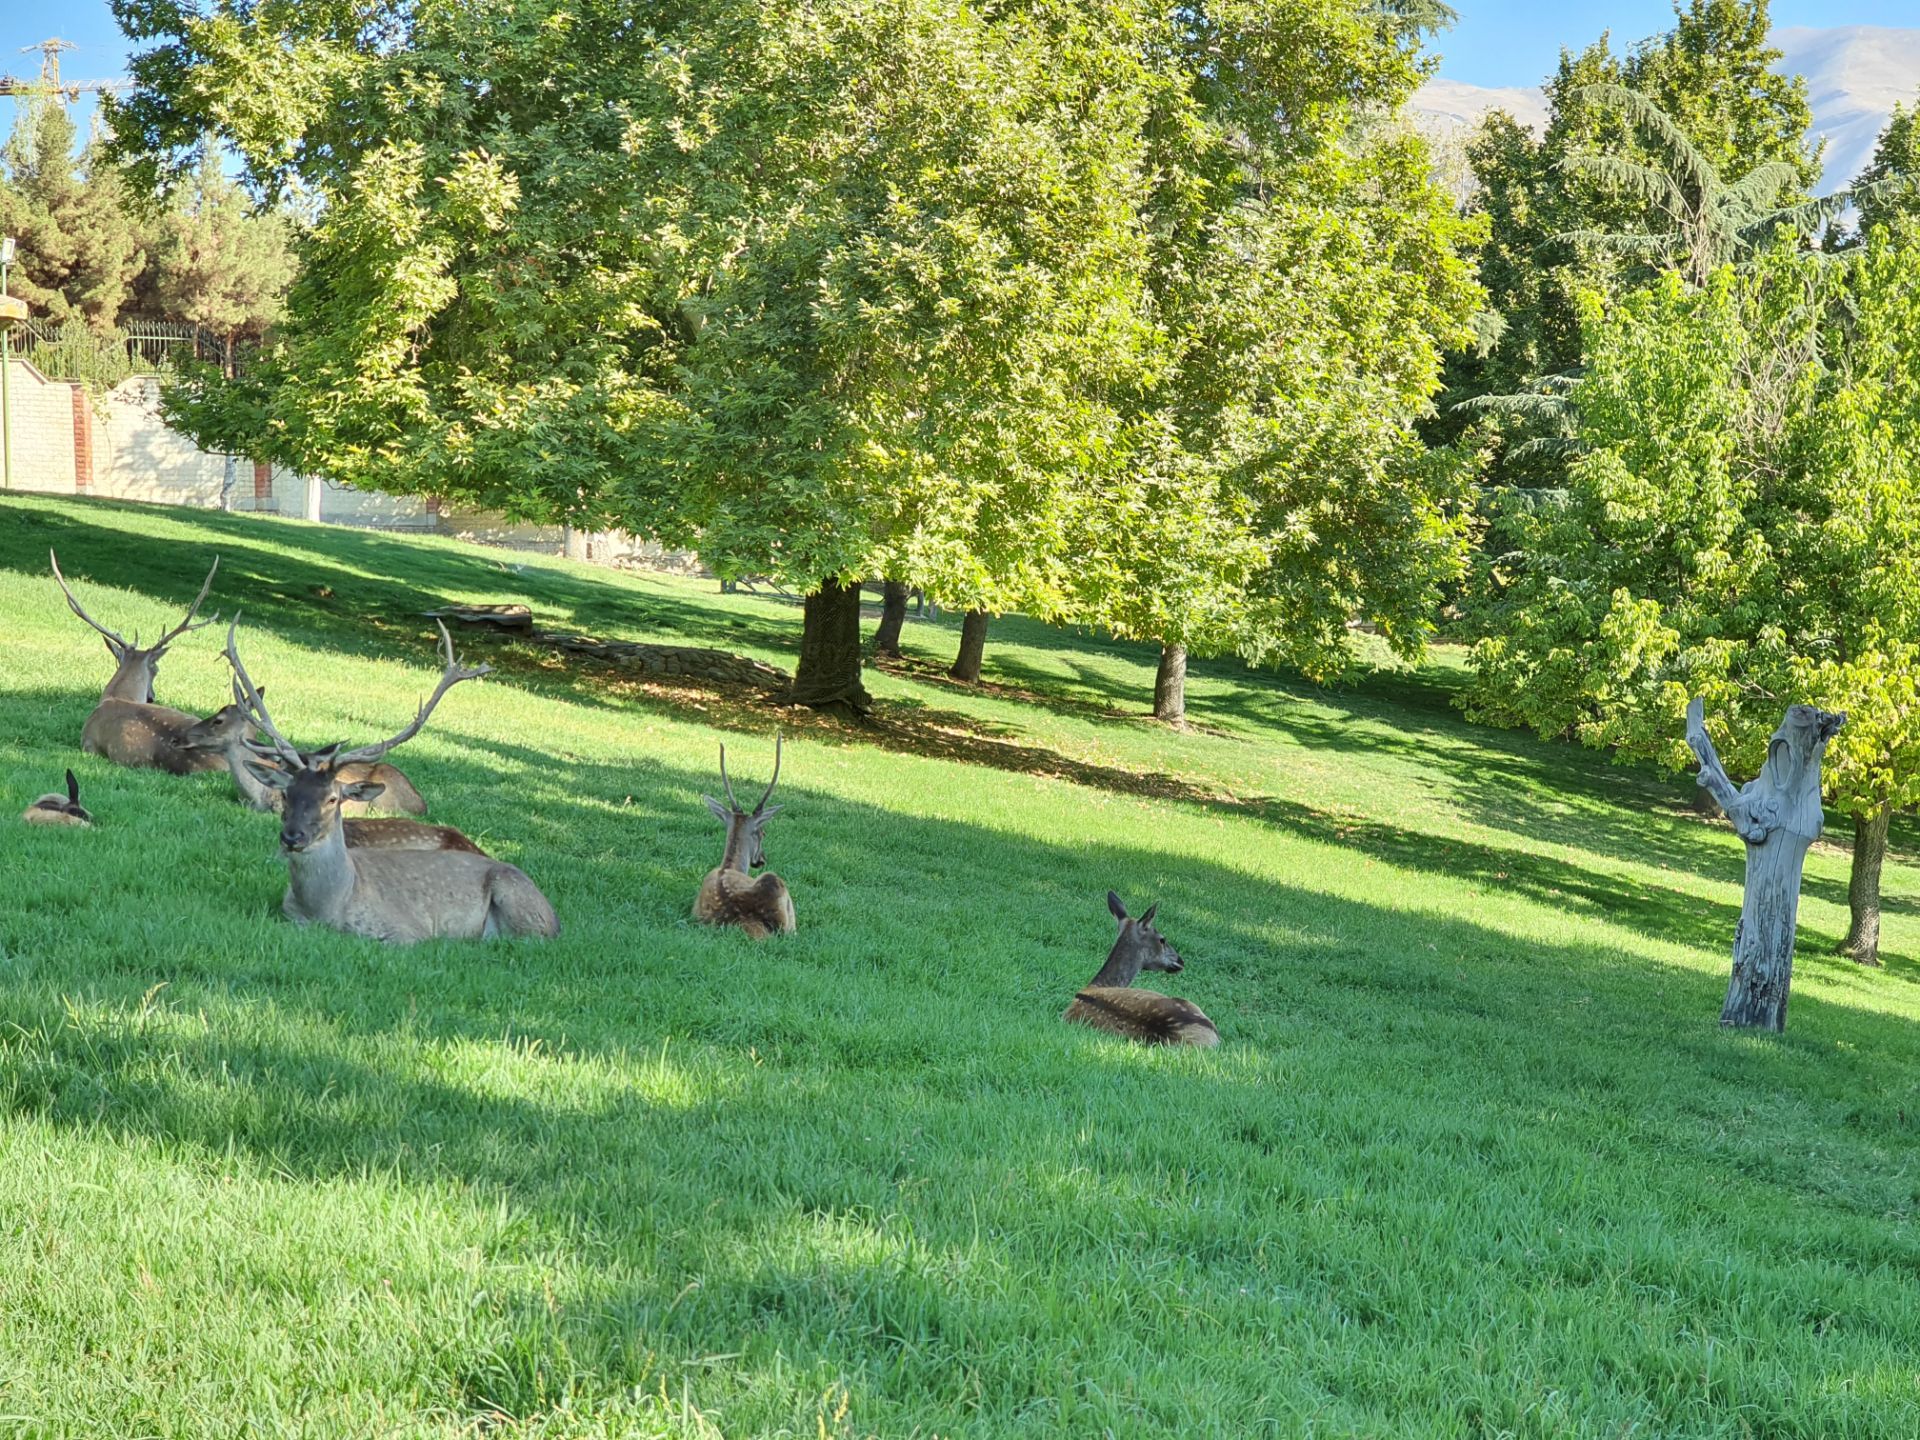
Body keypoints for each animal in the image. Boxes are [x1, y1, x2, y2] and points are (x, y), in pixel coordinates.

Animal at [226, 622, 556, 948]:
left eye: (333, 799)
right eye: (286, 793)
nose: (292, 836)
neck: (328, 909)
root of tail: (555, 917)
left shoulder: (407, 931)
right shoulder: (289, 916)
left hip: (519, 901)